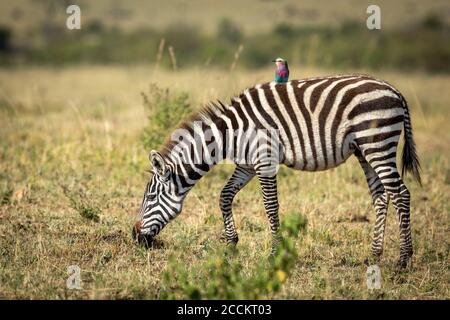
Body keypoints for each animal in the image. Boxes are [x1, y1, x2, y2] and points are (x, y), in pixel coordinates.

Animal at [132, 74, 420, 266]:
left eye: (149, 197)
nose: (135, 236)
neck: (231, 134)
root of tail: (395, 90)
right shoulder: (247, 165)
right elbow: (225, 196)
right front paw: (231, 244)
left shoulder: (265, 160)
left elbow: (270, 206)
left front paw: (274, 254)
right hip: (364, 150)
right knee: (381, 196)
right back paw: (374, 255)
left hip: (377, 142)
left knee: (401, 194)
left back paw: (404, 258)